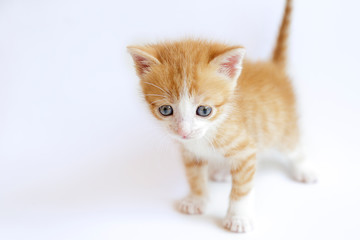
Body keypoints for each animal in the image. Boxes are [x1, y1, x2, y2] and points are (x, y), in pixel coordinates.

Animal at [126, 0, 316, 232]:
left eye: (204, 110)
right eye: (165, 110)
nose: (183, 131)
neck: (209, 132)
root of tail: (273, 68)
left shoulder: (247, 149)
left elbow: (242, 188)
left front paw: (238, 217)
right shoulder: (189, 152)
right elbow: (195, 177)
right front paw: (196, 200)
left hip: (281, 127)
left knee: (293, 146)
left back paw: (303, 168)